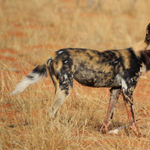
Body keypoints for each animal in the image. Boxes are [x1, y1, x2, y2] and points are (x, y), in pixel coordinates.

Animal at [11, 23, 150, 136]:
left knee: (54, 112)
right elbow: (132, 119)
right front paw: (138, 135)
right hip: (66, 88)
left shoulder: (116, 90)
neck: (140, 55)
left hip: (60, 88)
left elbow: (108, 116)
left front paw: (104, 132)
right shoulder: (127, 91)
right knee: (50, 112)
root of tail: (55, 53)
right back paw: (55, 131)